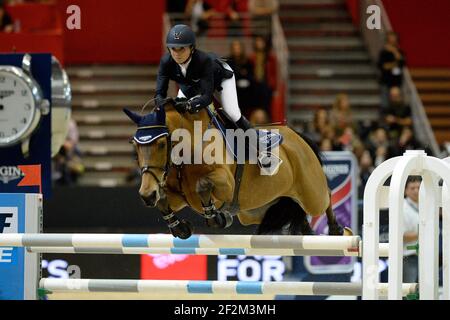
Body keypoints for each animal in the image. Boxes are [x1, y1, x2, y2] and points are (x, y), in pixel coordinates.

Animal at [123, 101, 352, 239]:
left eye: (162, 144)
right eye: (134, 145)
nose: (146, 195)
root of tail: (298, 136)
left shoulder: (226, 184)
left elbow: (203, 185)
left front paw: (218, 218)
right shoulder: (180, 197)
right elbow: (164, 200)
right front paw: (180, 227)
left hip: (311, 192)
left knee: (325, 197)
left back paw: (337, 229)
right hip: (255, 211)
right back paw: (306, 229)